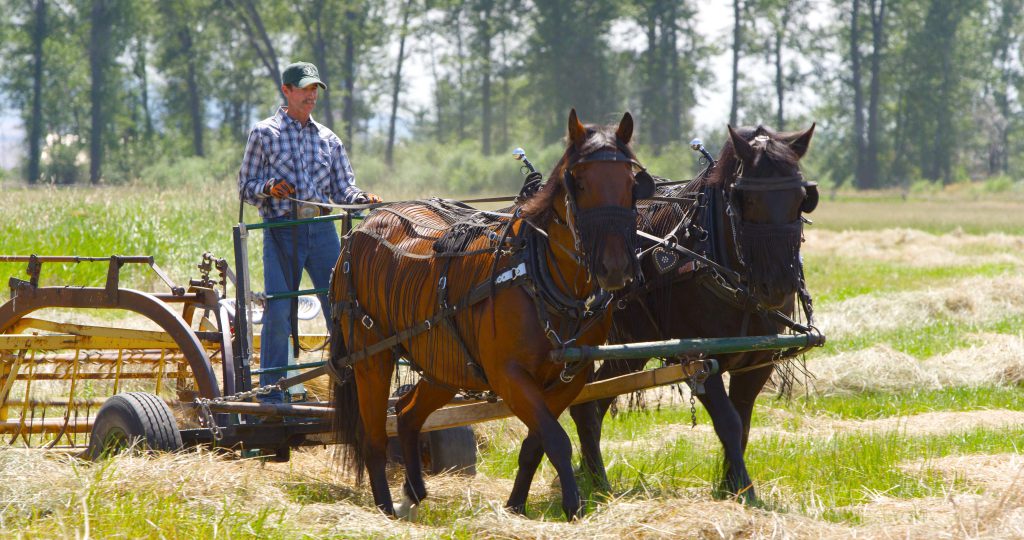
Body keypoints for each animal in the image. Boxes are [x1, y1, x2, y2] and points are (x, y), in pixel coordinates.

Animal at [328, 109, 656, 520]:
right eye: (578, 182)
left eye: (631, 183)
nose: (615, 268)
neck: (540, 277)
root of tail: (361, 230)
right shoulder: (509, 376)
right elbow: (556, 439)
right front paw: (572, 506)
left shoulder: (570, 378)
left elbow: (537, 443)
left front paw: (516, 505)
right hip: (371, 355)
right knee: (372, 435)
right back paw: (387, 508)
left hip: (445, 362)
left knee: (406, 413)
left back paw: (414, 490)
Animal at [567, 124, 819, 504]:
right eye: (745, 199)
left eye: (801, 197)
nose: (777, 286)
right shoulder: (697, 358)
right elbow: (729, 422)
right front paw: (744, 490)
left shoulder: (758, 361)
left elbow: (743, 423)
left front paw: (730, 485)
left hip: (631, 347)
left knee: (592, 401)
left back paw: (592, 477)